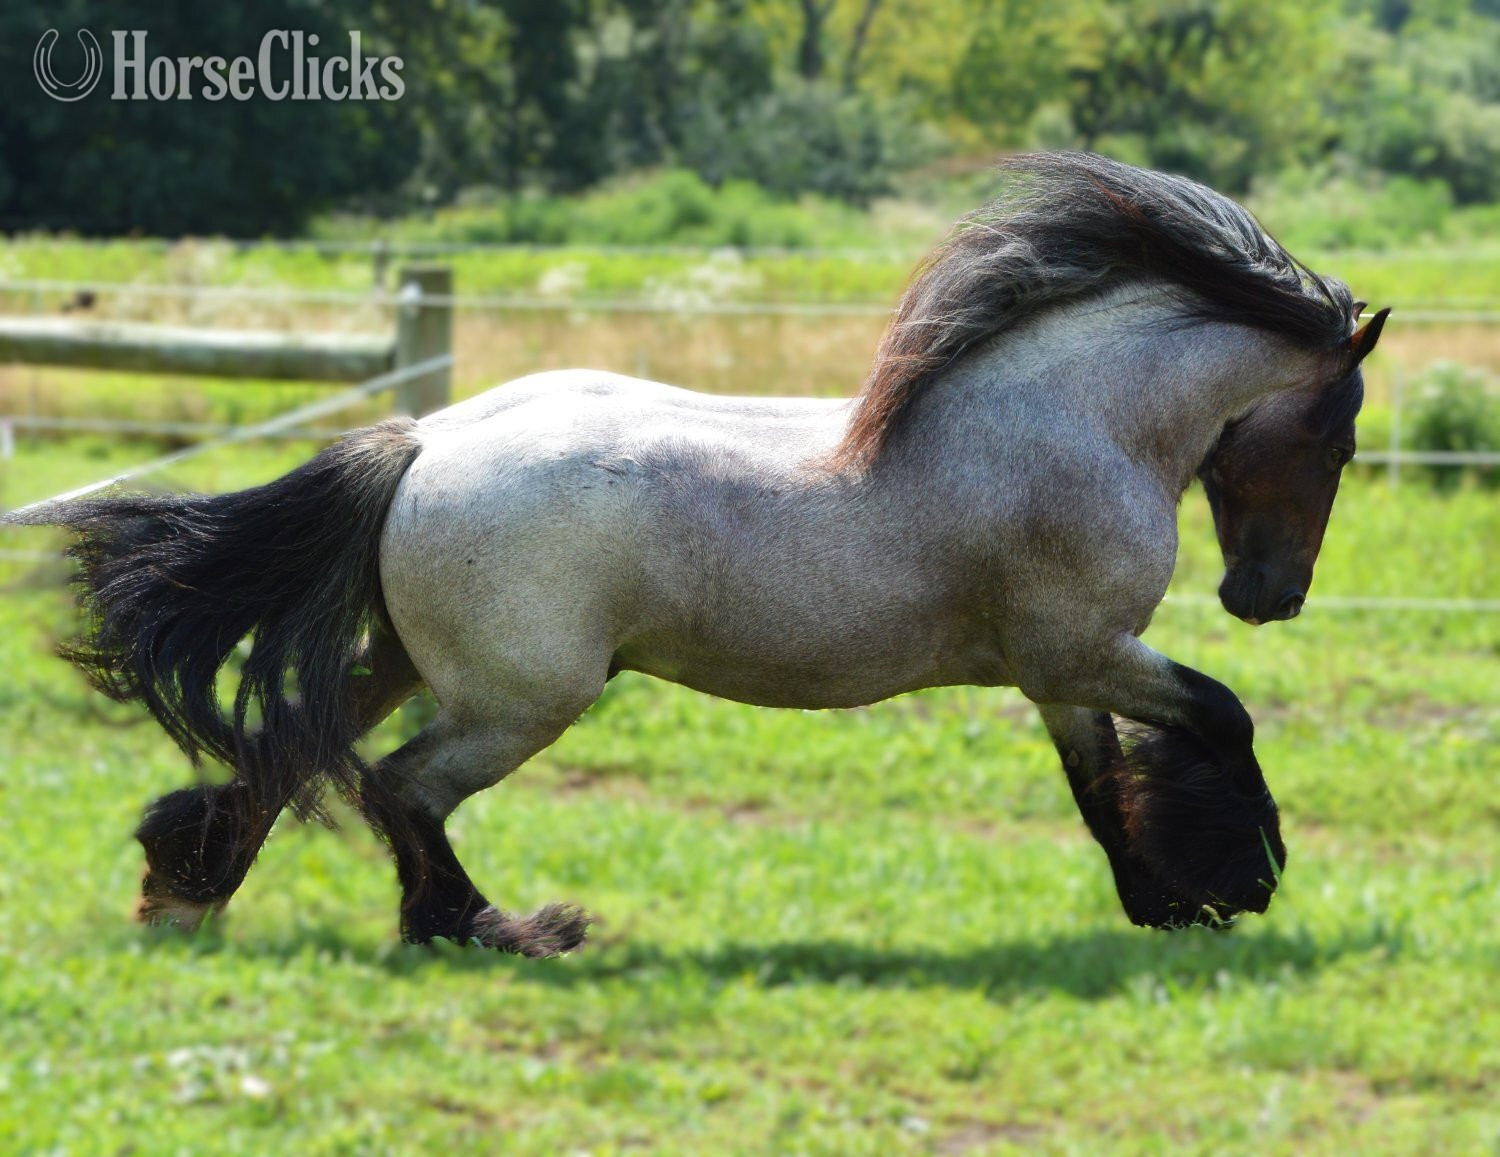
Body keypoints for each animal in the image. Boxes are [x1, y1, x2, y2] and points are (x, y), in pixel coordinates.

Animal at [8, 153, 1389, 955]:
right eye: (1340, 433)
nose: (1270, 597)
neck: (1068, 418)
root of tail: (425, 439)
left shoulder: (1062, 672)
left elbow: (1103, 792)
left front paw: (1171, 905)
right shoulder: (1087, 649)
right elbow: (1223, 717)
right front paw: (1242, 879)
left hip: (413, 661)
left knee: (291, 748)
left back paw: (186, 888)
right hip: (524, 696)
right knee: (398, 785)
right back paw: (501, 929)